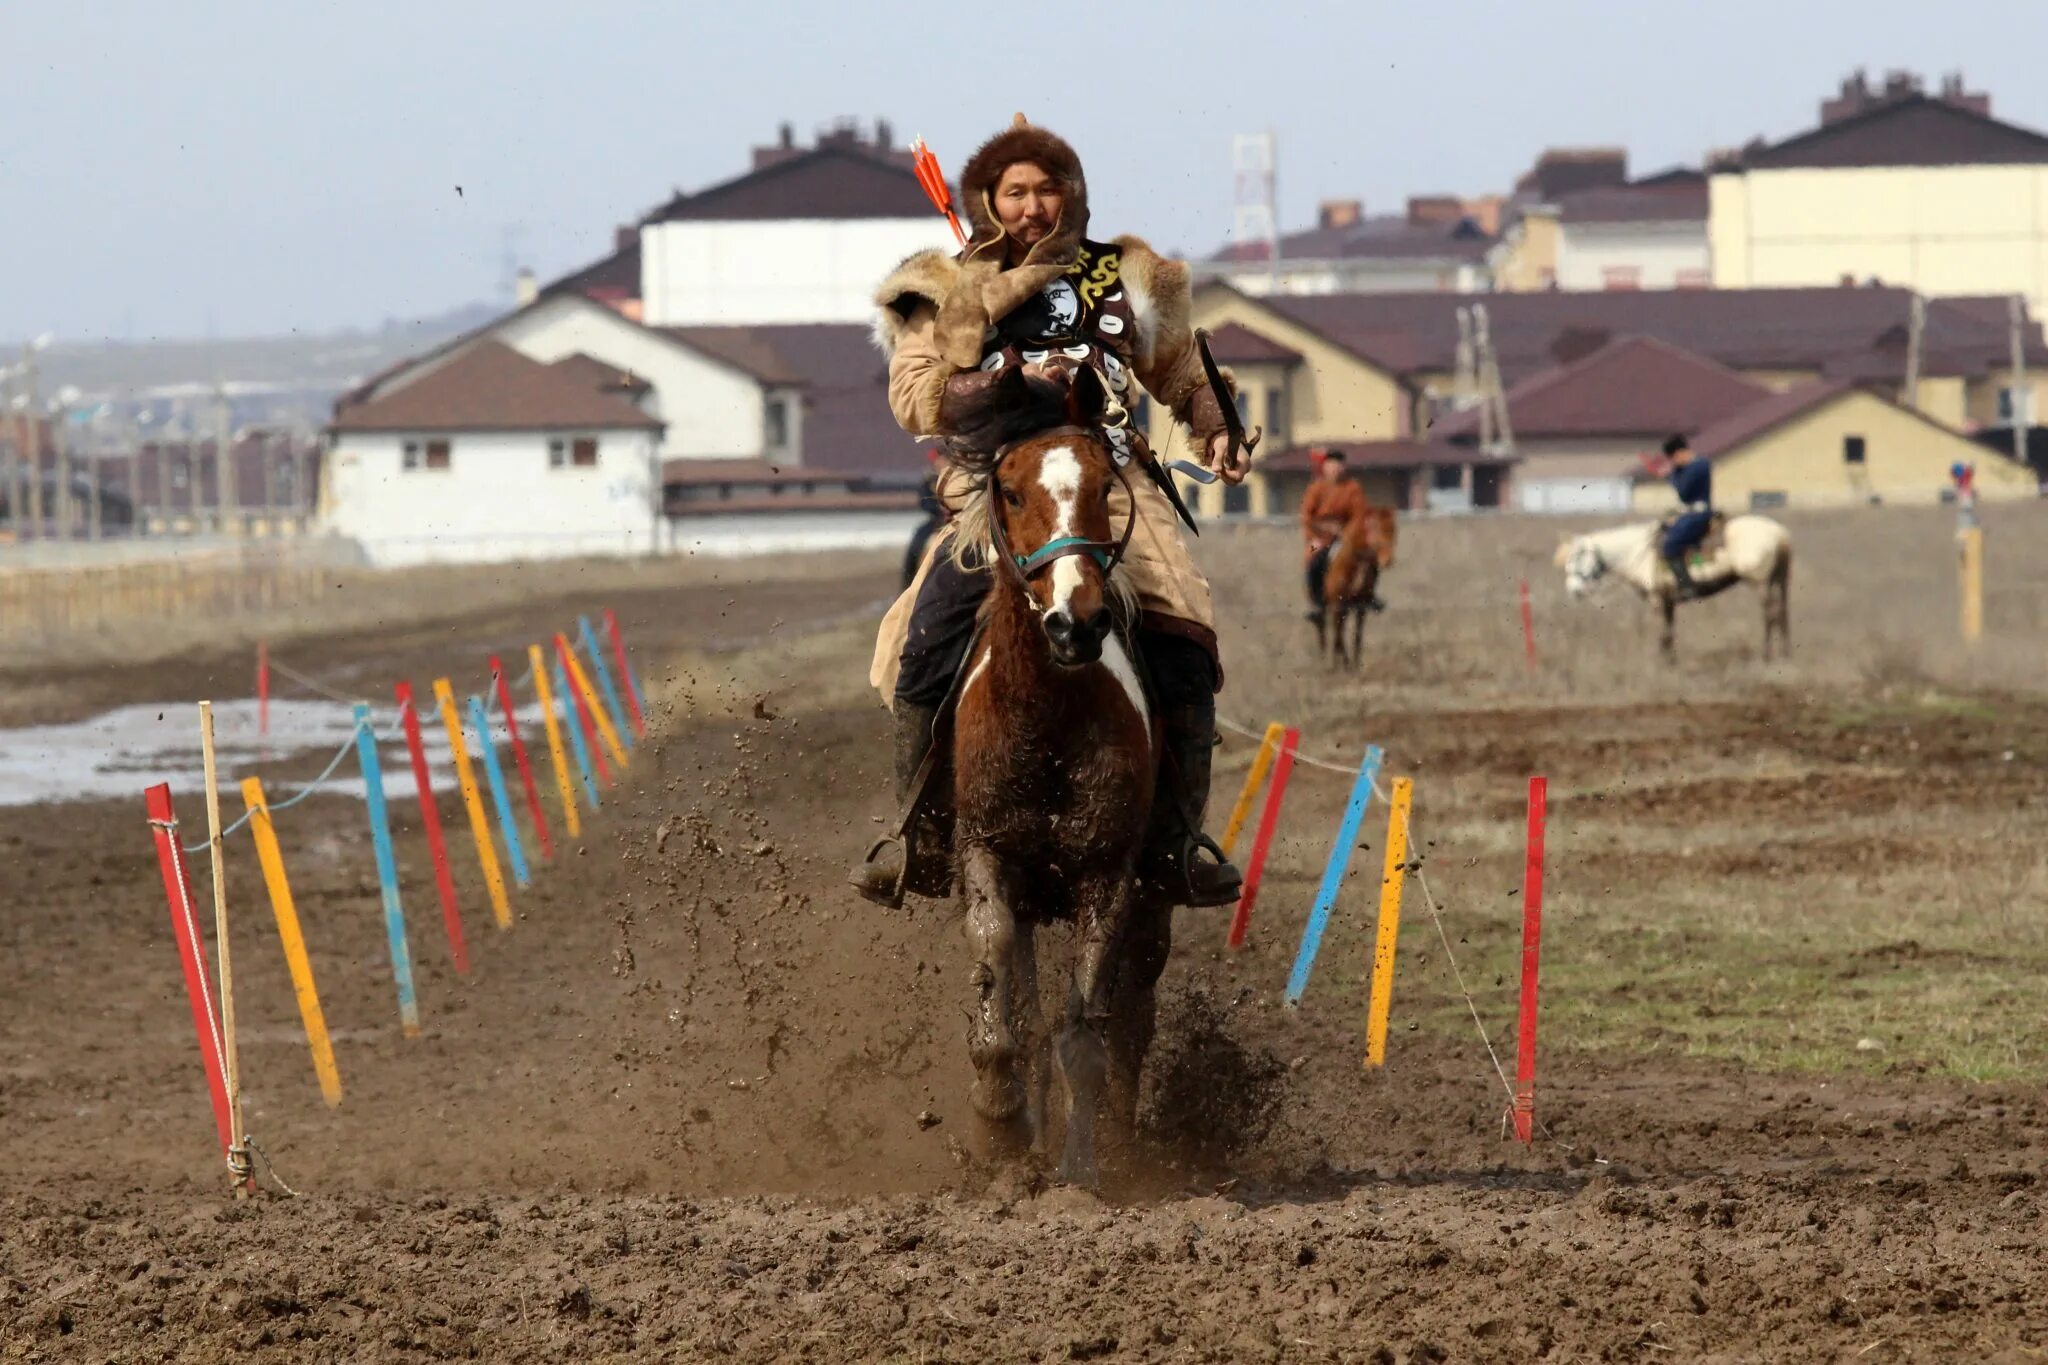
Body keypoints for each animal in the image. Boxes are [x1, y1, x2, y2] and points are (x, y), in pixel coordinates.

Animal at [1310, 505, 1392, 671]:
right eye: (1374, 529)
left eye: (1393, 530)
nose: (1387, 560)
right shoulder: (1337, 604)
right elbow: (1339, 635)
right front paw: (1345, 665)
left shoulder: (1360, 606)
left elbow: (1357, 636)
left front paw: (1355, 665)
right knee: (1325, 629)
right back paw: (1327, 660)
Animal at [1548, 515, 1794, 658]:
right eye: (1568, 562)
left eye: (1578, 558)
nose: (1574, 591)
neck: (1639, 553)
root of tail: (1778, 532)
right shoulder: (1668, 601)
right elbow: (1669, 631)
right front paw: (1670, 662)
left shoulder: (1657, 599)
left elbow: (1663, 632)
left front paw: (1662, 664)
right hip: (1778, 581)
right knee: (1781, 613)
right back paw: (1783, 654)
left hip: (1760, 583)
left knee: (1770, 614)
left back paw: (1766, 655)